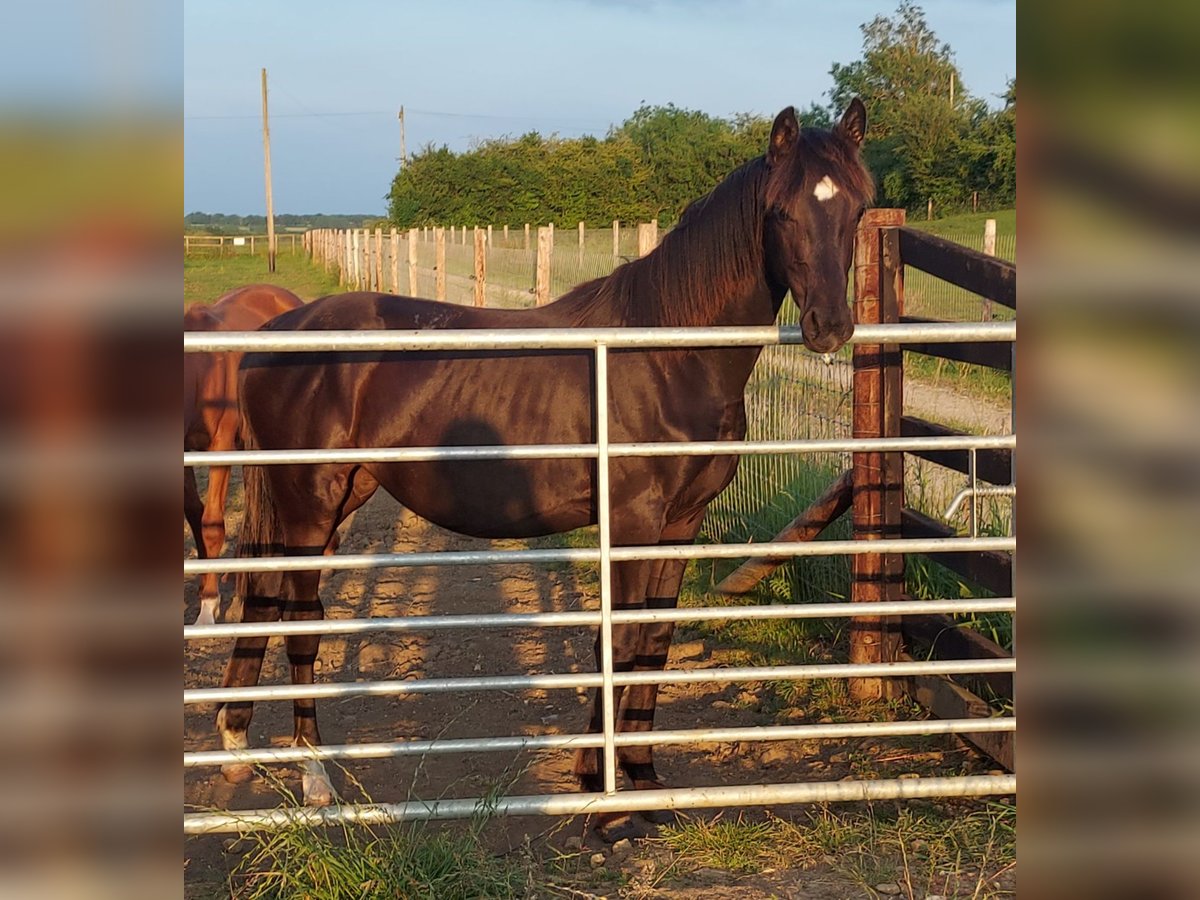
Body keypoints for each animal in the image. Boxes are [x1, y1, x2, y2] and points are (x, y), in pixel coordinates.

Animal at [218, 102, 873, 844]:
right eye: (781, 211)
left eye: (856, 209)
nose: (829, 326)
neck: (666, 353)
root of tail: (272, 333)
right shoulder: (632, 520)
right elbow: (618, 639)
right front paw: (606, 800)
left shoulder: (682, 520)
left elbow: (654, 639)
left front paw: (644, 783)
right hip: (310, 502)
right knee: (299, 622)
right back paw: (316, 781)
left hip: (333, 500)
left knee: (263, 599)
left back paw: (236, 748)